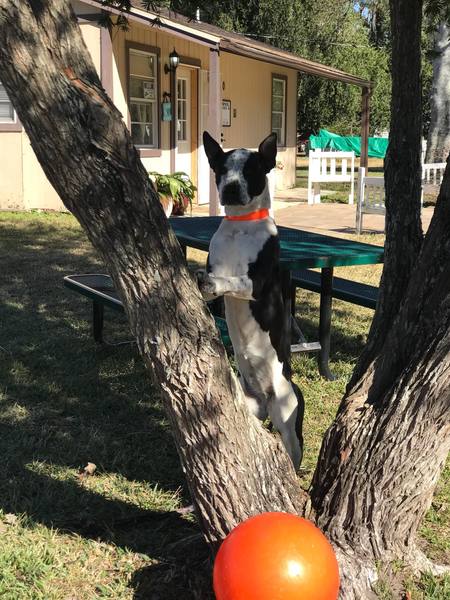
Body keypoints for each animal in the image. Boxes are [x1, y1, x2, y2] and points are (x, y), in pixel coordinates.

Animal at [199, 131, 304, 468]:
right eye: (221, 169)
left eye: (251, 170)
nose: (231, 187)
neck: (240, 226)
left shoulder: (255, 284)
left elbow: (233, 281)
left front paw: (214, 282)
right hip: (251, 406)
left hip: (286, 414)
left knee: (293, 448)